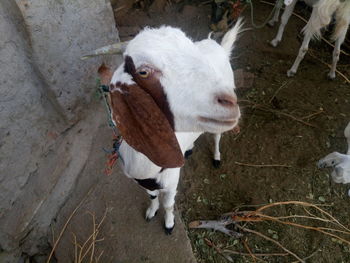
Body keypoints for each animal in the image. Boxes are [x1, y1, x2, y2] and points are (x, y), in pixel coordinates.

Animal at [97, 21, 243, 235]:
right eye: (143, 71)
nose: (229, 102)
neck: (147, 168)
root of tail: (218, 46)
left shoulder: (172, 183)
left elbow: (168, 204)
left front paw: (169, 224)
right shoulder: (142, 183)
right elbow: (152, 197)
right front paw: (151, 211)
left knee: (216, 137)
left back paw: (216, 157)